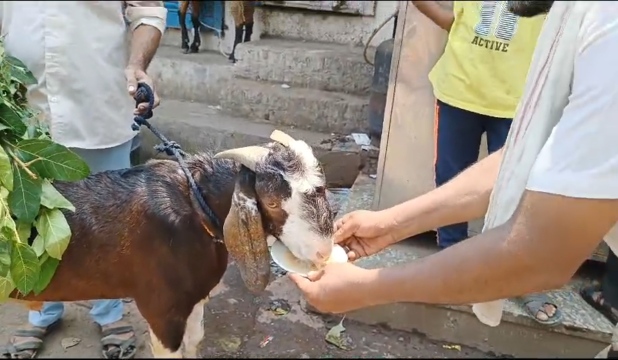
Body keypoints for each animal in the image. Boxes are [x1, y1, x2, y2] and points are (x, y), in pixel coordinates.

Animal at [9, 130, 334, 358]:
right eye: (272, 202)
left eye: (323, 188)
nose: (323, 253)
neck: (194, 208)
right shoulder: (161, 309)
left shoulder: (193, 299)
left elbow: (194, 341)